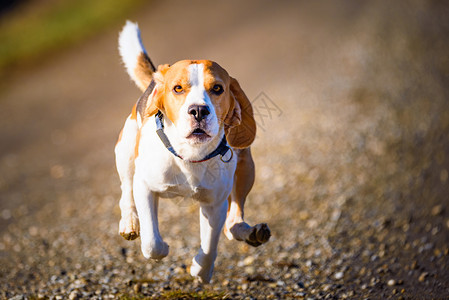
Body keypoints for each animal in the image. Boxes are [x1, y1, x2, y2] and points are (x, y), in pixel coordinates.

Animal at [115, 21, 270, 284]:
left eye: (217, 88)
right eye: (177, 88)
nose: (198, 110)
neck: (190, 155)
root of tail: (158, 73)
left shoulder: (214, 204)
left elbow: (210, 244)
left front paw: (201, 271)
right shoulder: (144, 186)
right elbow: (152, 243)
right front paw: (163, 249)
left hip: (246, 168)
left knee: (232, 222)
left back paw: (251, 233)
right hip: (125, 152)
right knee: (125, 192)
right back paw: (129, 223)